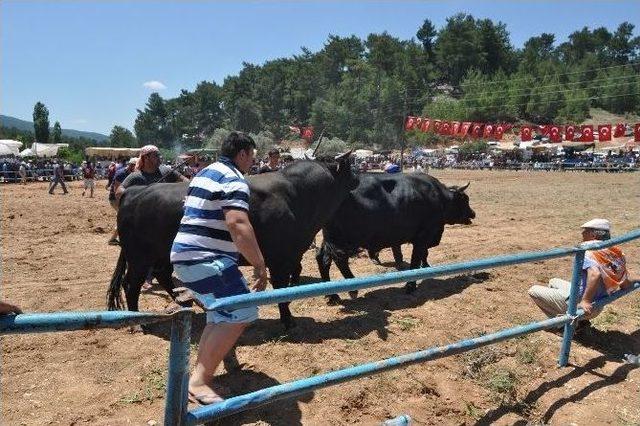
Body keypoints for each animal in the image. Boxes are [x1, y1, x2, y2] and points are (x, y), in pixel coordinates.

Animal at [316, 171, 476, 302]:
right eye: (465, 199)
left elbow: (423, 255)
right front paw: (411, 285)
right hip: (343, 239)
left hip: (330, 238)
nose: (473, 213)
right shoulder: (423, 236)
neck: (439, 197)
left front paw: (425, 268)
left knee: (322, 258)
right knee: (338, 259)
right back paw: (352, 289)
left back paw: (332, 295)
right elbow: (415, 260)